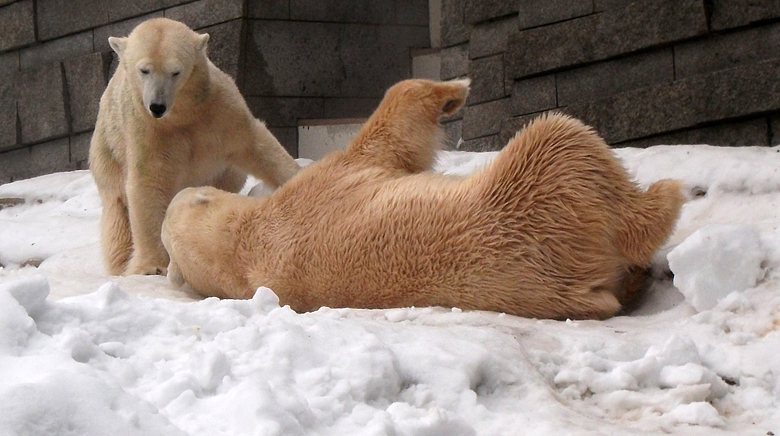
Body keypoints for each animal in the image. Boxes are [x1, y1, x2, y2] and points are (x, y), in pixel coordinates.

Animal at [90, 18, 298, 276]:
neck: (181, 115)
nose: (157, 106)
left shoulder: (218, 109)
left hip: (224, 173)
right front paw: (151, 267)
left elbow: (255, 145)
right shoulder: (147, 129)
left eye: (175, 72)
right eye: (144, 70)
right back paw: (122, 263)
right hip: (107, 152)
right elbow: (148, 183)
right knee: (116, 211)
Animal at [163, 77, 684, 320]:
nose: (188, 189)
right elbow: (390, 130)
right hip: (540, 200)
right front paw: (458, 89)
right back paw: (666, 197)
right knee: (564, 139)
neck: (240, 247)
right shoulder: (327, 183)